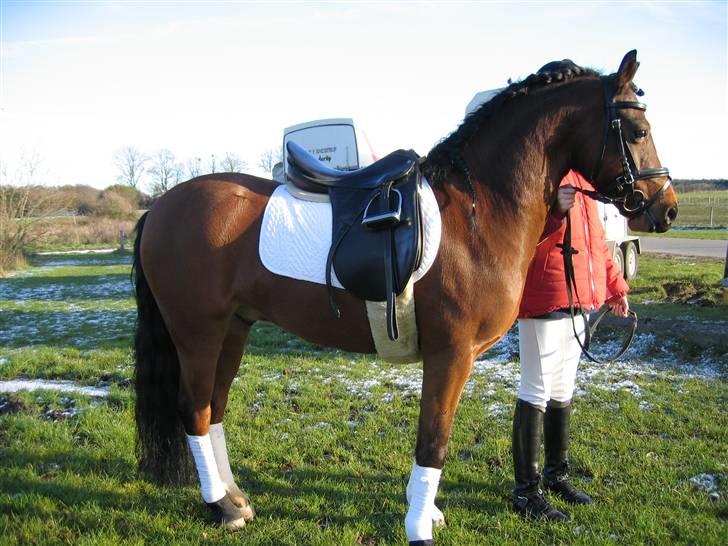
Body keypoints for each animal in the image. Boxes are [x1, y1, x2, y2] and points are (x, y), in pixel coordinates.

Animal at [132, 50, 677, 544]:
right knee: (195, 409)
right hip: (198, 332)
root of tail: (160, 208)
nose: (666, 209)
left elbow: (436, 437)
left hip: (234, 327)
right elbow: (433, 441)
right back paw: (221, 506)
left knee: (215, 407)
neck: (479, 211)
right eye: (638, 132)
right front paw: (419, 528)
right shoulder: (451, 354)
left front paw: (427, 513)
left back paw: (234, 497)